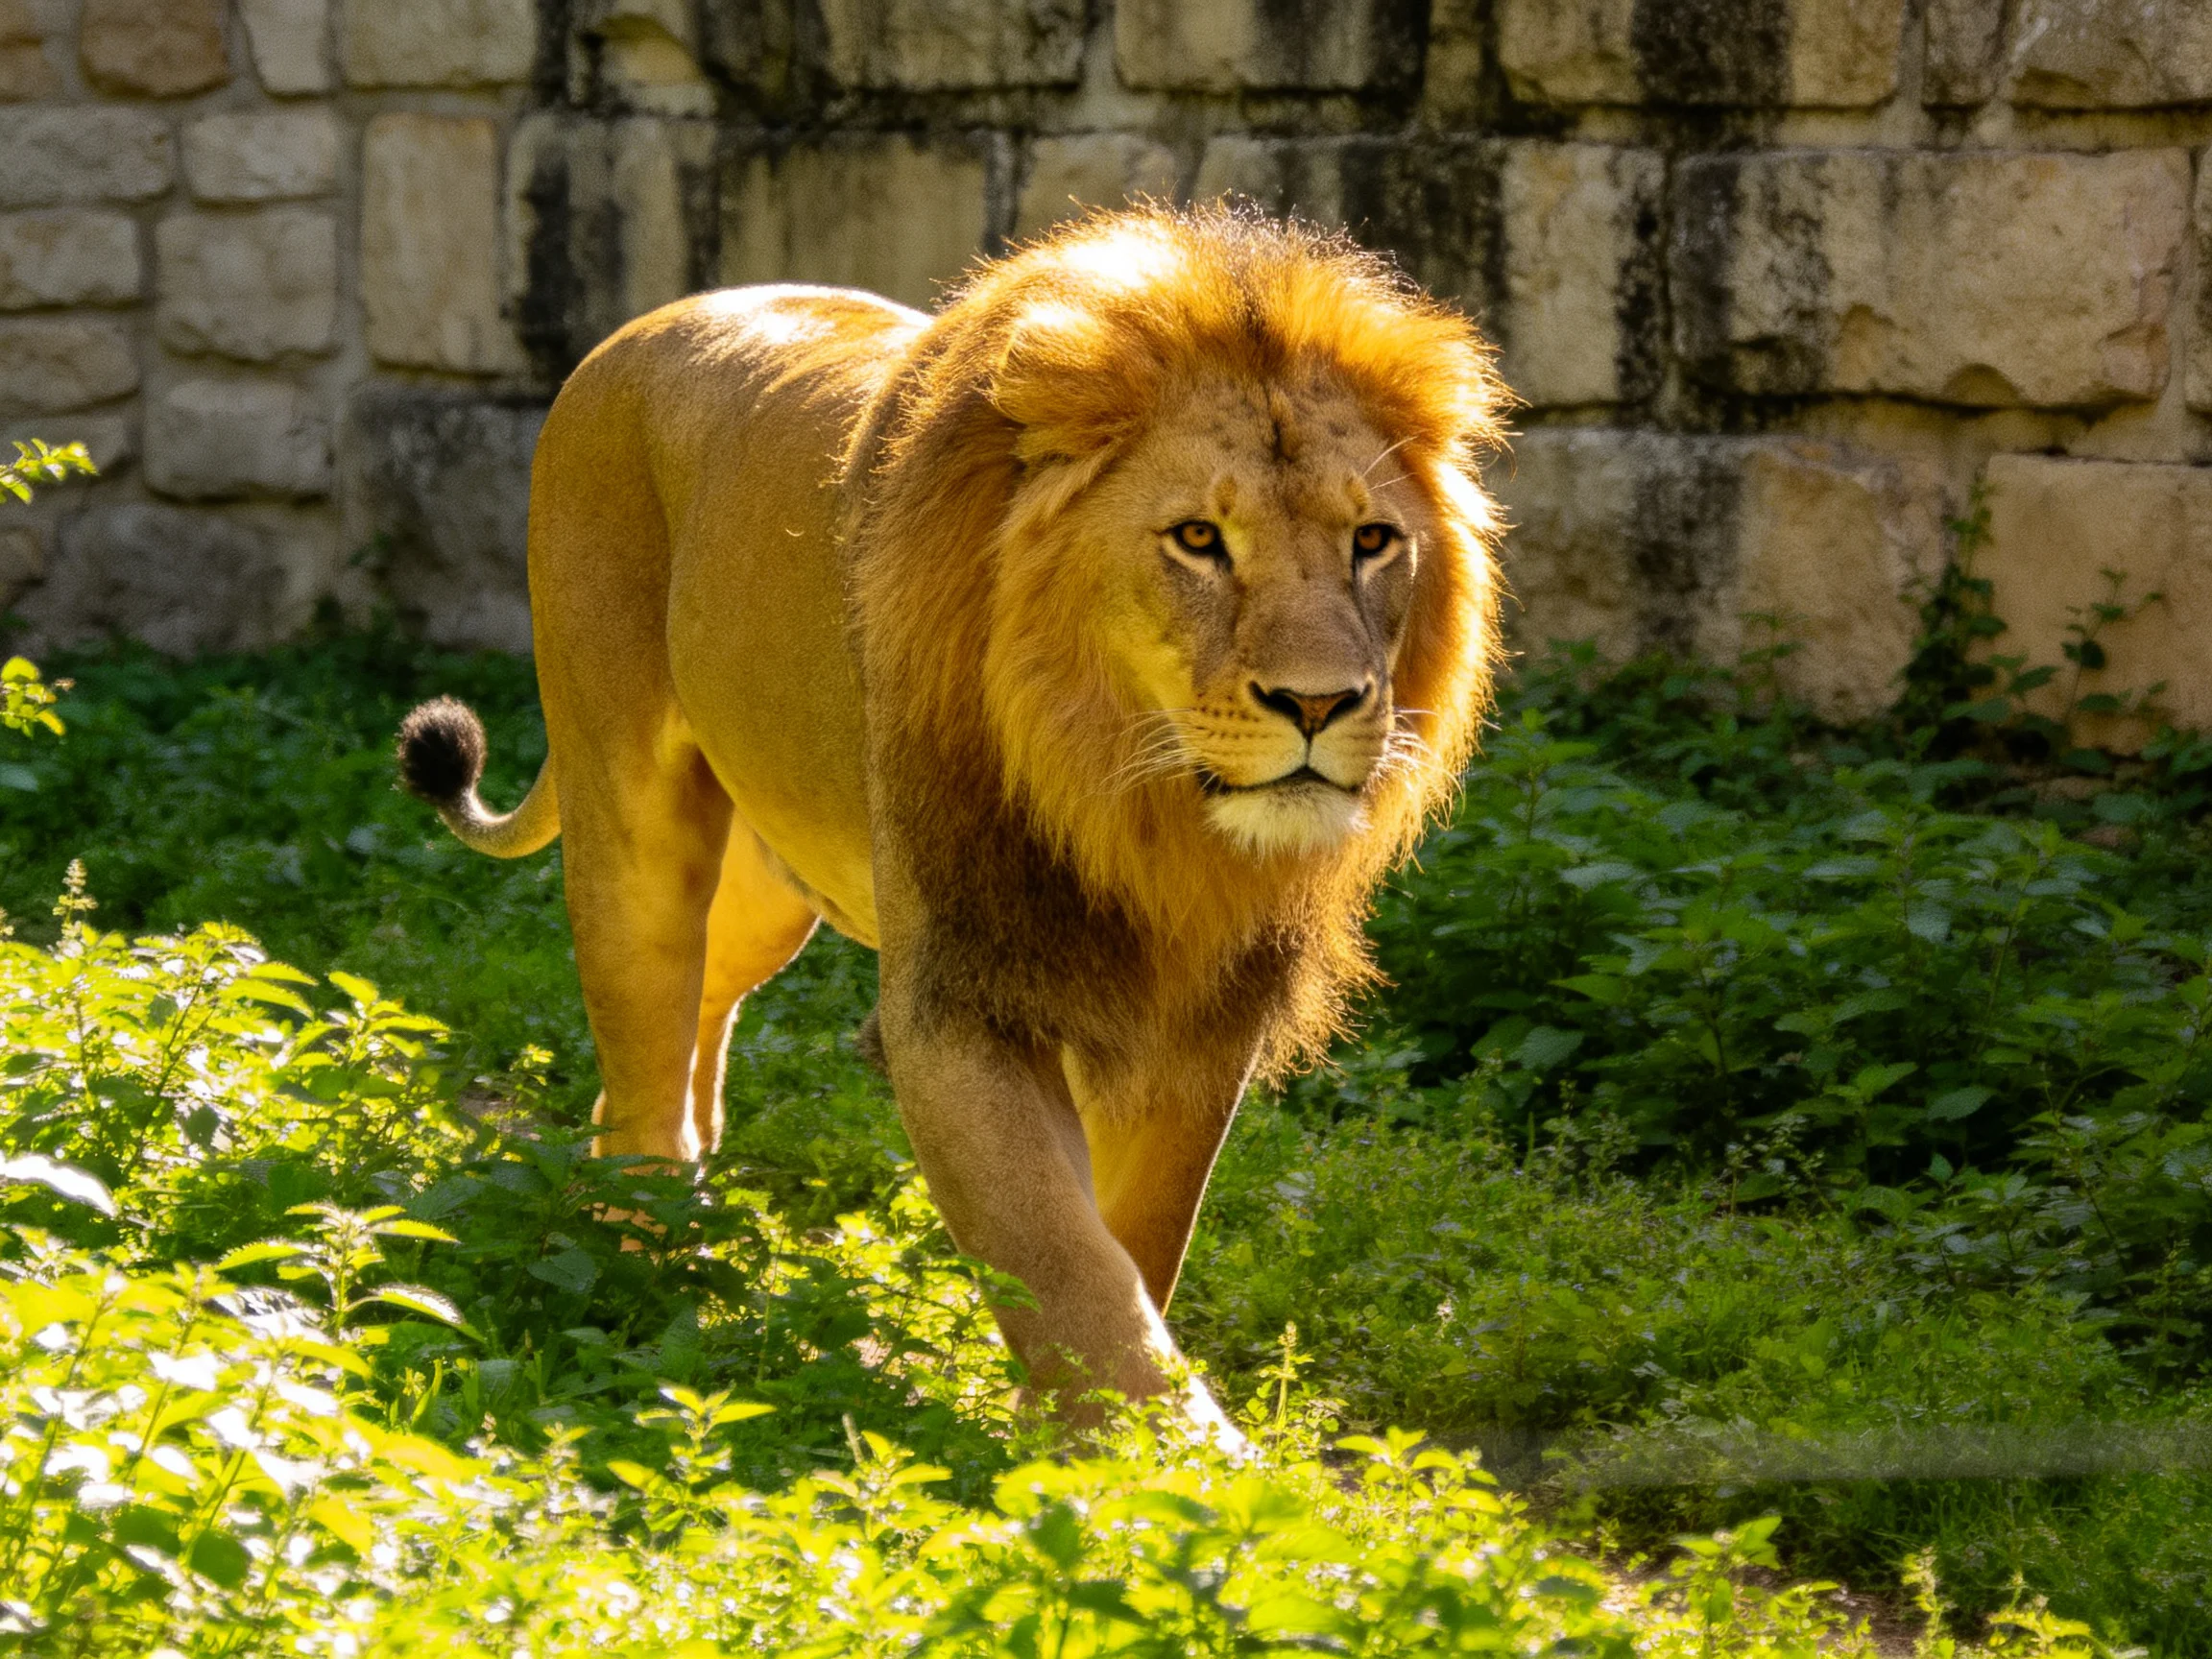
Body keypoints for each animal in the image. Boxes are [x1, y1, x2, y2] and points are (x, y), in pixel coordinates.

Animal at [396, 206, 1507, 1429]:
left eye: (1373, 542)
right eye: (1199, 540)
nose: (1319, 704)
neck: (1136, 809)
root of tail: (634, 331)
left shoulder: (1203, 1015)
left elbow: (1138, 1245)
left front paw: (1081, 1431)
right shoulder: (959, 994)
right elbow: (1062, 1255)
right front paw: (1181, 1456)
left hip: (770, 887)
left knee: (694, 1021)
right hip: (631, 814)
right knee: (643, 1036)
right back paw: (638, 1266)